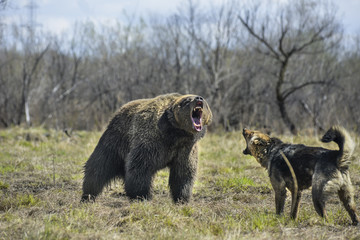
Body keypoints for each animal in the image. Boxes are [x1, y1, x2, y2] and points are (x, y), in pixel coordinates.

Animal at [81, 93, 211, 202]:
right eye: (187, 100)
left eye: (202, 99)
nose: (199, 98)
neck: (175, 134)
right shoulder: (151, 141)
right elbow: (140, 167)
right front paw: (142, 195)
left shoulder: (186, 149)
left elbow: (183, 172)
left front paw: (182, 198)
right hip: (115, 141)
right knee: (98, 167)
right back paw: (88, 195)